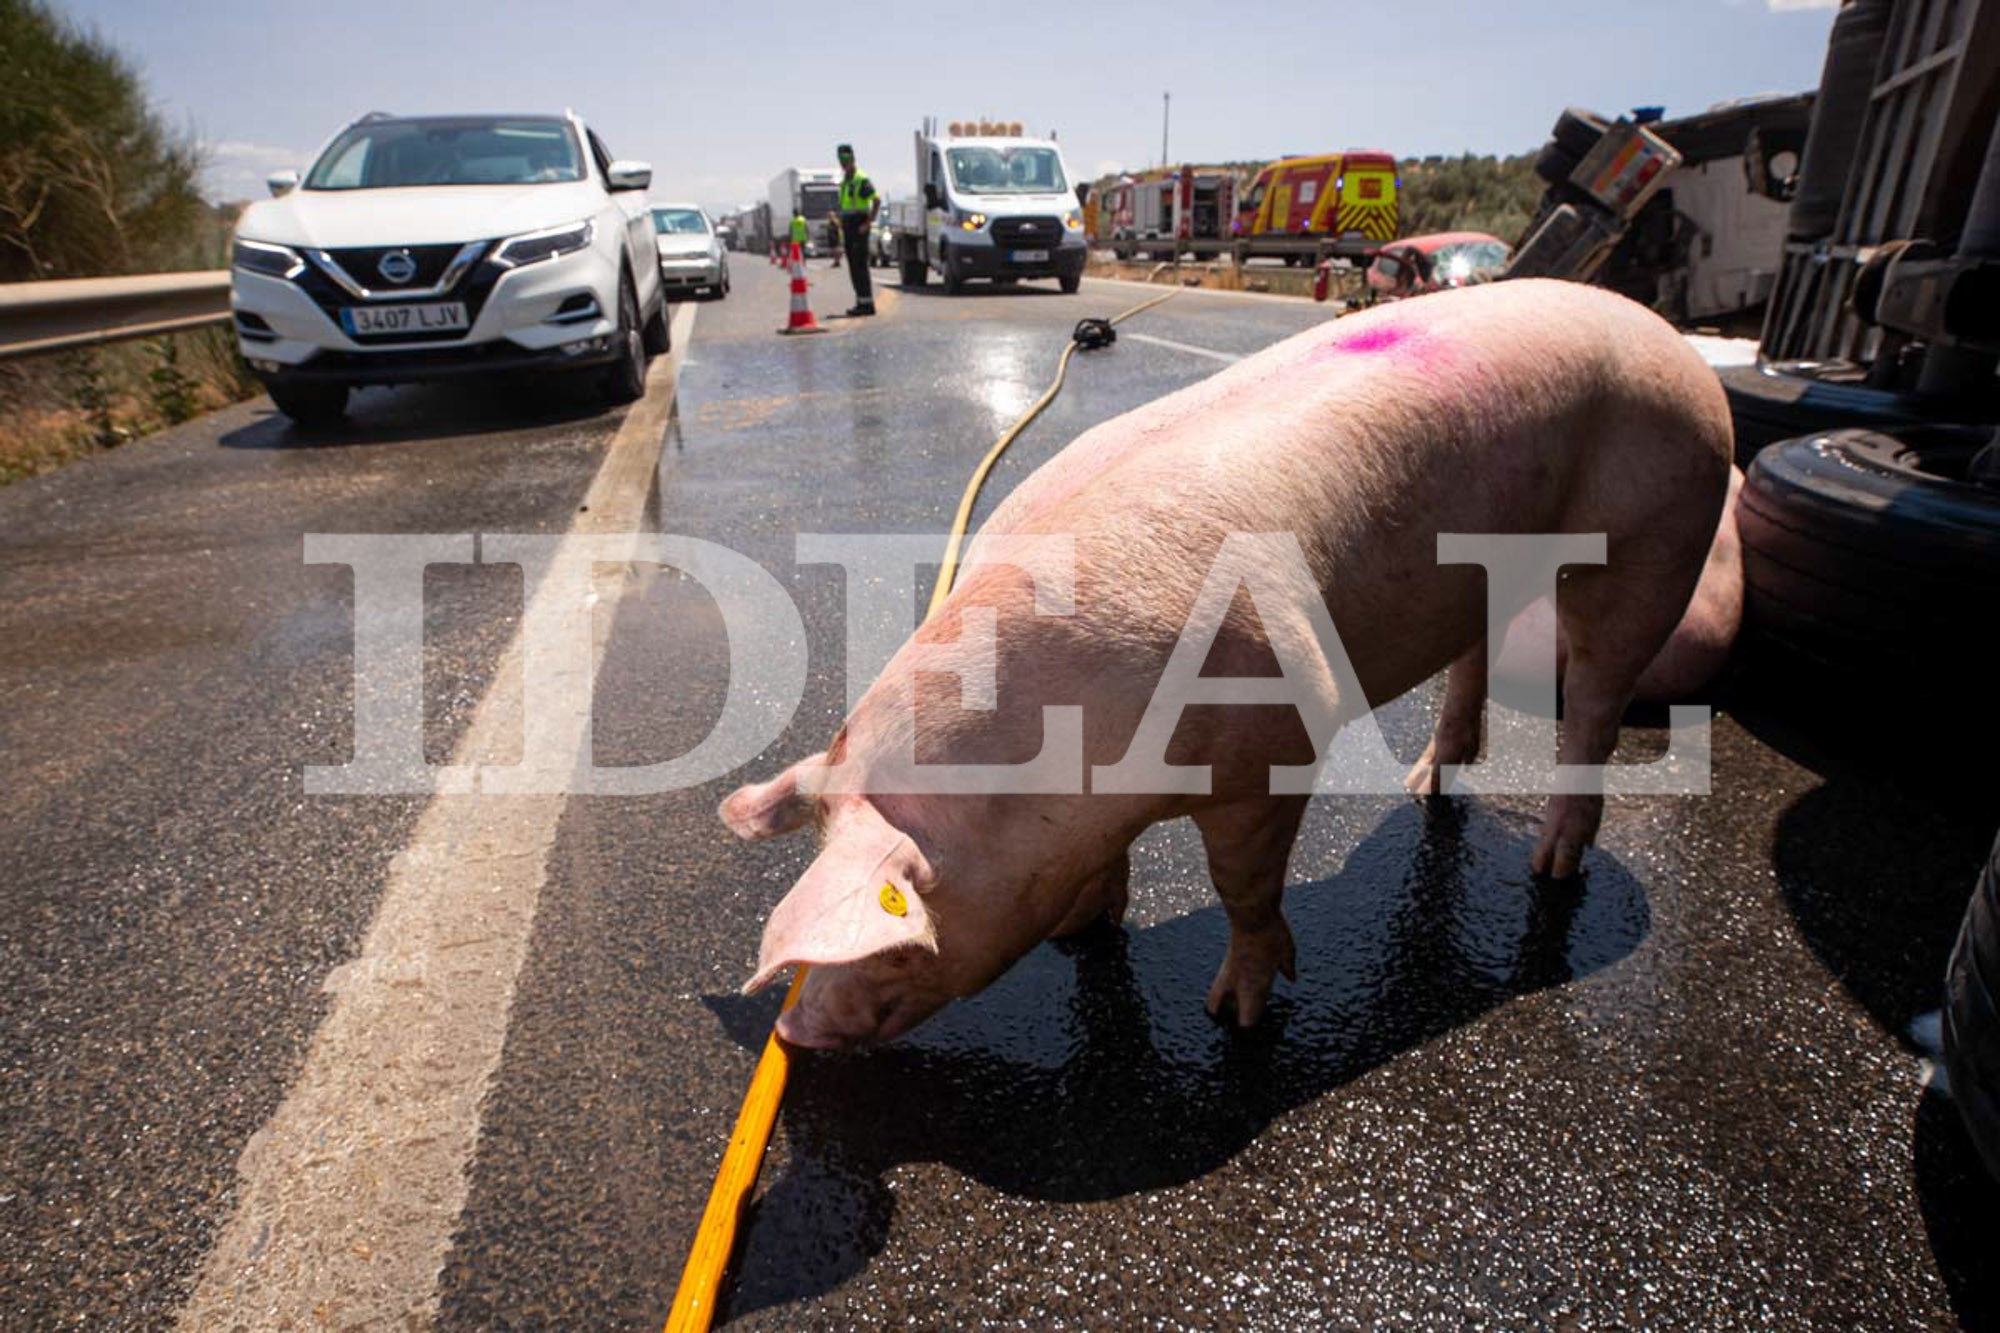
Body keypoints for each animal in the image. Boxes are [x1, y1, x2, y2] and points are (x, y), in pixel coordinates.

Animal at [724, 278, 1736, 1048]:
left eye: (895, 937)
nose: (795, 1032)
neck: (1062, 772)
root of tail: (1677, 344)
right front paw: (1083, 928)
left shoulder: (1274, 745)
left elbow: (1243, 887)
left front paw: (1234, 1016)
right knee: (1475, 658)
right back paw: (1425, 785)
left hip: (1656, 534)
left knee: (1597, 700)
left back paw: (1552, 863)